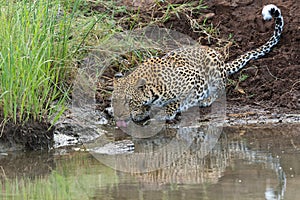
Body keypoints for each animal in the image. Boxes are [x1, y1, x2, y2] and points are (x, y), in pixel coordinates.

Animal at [112, 4, 284, 126]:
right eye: (114, 101)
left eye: (128, 101)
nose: (119, 116)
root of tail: (221, 61)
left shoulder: (193, 78)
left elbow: (176, 100)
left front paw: (167, 112)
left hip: (213, 70)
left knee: (221, 87)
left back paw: (206, 100)